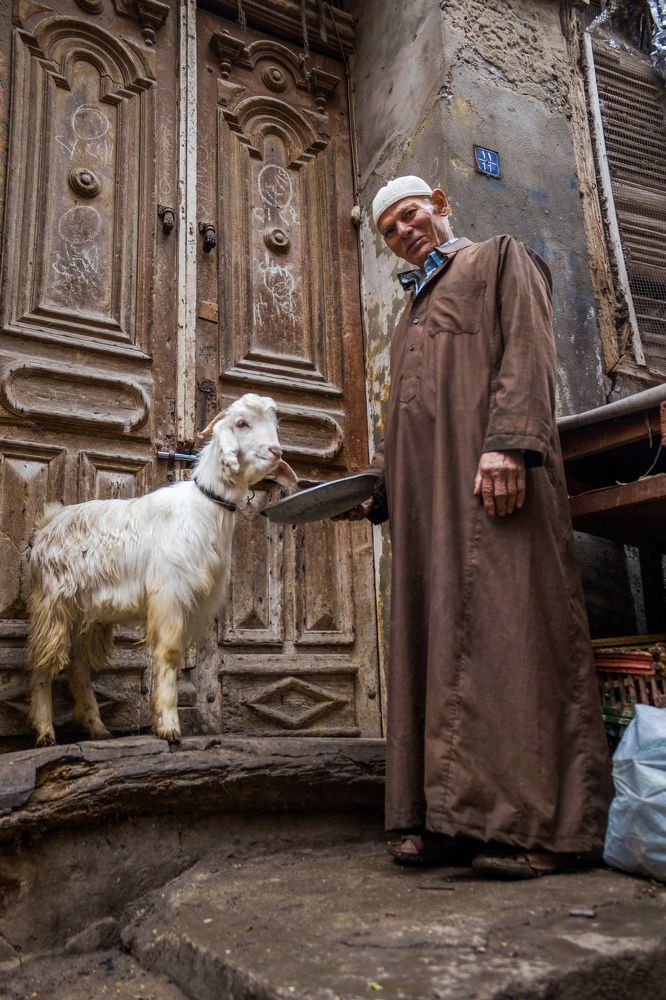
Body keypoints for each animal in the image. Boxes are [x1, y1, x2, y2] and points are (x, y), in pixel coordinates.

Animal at [26, 393, 297, 745]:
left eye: (274, 423)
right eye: (241, 423)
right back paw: (45, 731)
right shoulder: (170, 592)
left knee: (78, 666)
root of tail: (47, 523)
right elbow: (168, 653)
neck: (204, 507)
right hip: (53, 603)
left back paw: (97, 728)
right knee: (43, 662)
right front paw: (168, 725)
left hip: (91, 614)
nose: (276, 452)